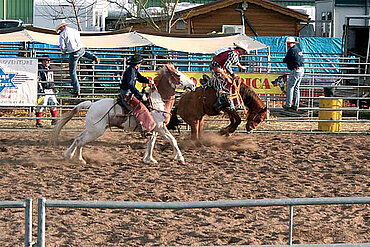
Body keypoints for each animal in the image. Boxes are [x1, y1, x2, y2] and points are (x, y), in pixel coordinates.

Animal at [52, 63, 197, 164]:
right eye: (178, 75)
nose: (193, 85)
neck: (158, 101)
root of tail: (92, 105)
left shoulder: (154, 129)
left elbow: (151, 143)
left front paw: (148, 159)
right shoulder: (161, 127)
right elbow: (172, 140)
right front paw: (180, 158)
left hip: (92, 129)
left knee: (78, 139)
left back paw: (72, 156)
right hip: (96, 131)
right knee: (81, 140)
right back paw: (76, 158)